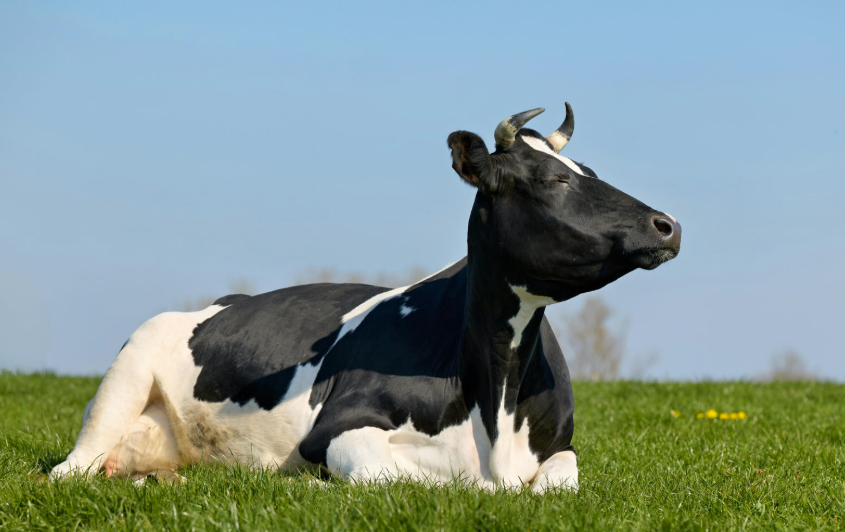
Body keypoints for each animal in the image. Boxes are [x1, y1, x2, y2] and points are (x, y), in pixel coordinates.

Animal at [50, 105, 681, 492]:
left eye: (587, 169)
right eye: (555, 180)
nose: (666, 224)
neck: (496, 405)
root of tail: (220, 301)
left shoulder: (562, 450)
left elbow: (558, 482)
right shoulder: (336, 429)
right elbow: (400, 477)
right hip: (125, 373)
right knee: (68, 470)